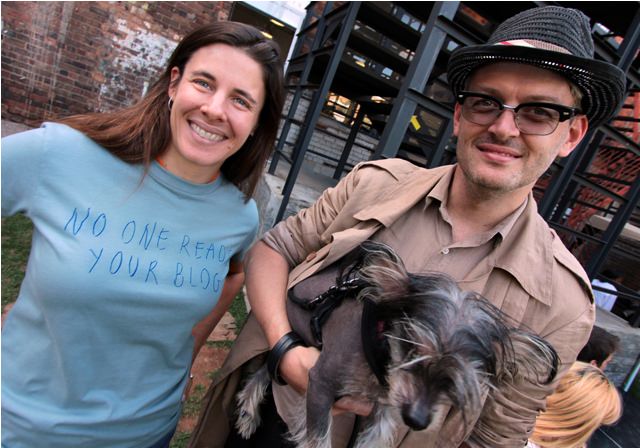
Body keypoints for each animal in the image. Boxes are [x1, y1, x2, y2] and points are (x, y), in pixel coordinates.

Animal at [235, 242, 558, 448]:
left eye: (459, 381)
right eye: (411, 347)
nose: (416, 419)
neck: (379, 352)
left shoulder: (382, 411)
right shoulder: (319, 384)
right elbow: (318, 439)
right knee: (266, 369)